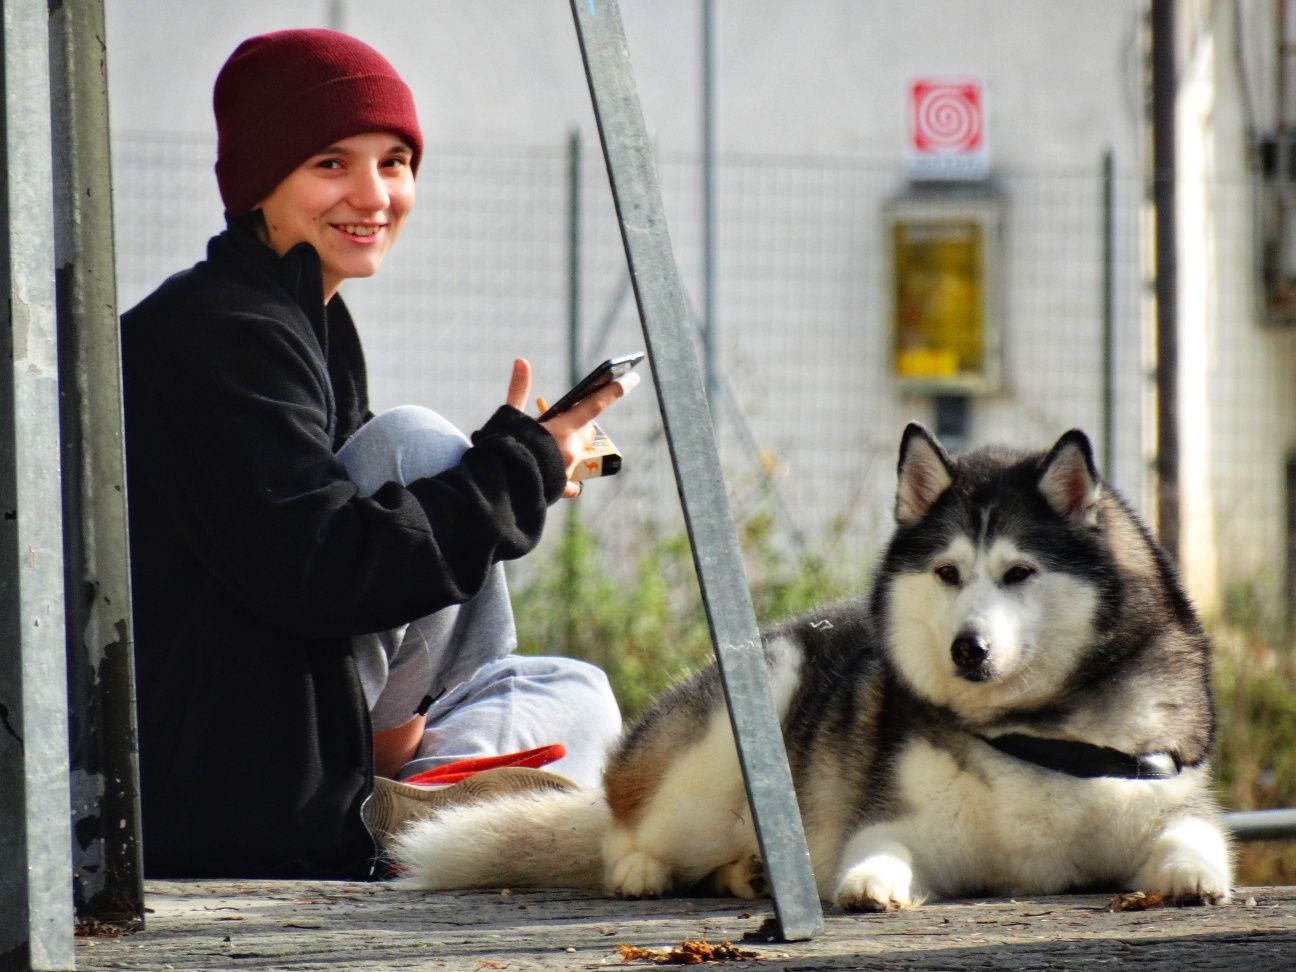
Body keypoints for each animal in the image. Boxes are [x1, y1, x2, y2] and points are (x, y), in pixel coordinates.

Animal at [393, 425, 1233, 912]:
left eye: (1019, 572)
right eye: (949, 573)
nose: (968, 648)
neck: (1030, 731)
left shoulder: (1168, 793)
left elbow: (1192, 837)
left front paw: (1193, 876)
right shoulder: (890, 821)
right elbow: (872, 857)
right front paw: (870, 886)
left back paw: (749, 874)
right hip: (755, 700)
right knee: (621, 830)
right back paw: (641, 868)